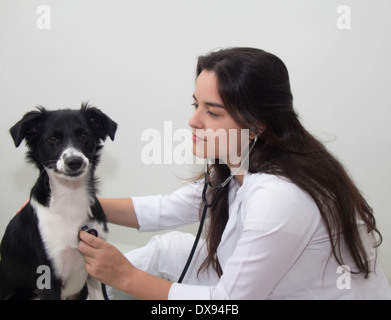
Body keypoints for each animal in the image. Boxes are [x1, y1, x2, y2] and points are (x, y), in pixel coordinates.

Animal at [0, 103, 117, 300]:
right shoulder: (49, 279)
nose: (74, 161)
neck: (71, 199)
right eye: (52, 138)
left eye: (84, 135)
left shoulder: (96, 267)